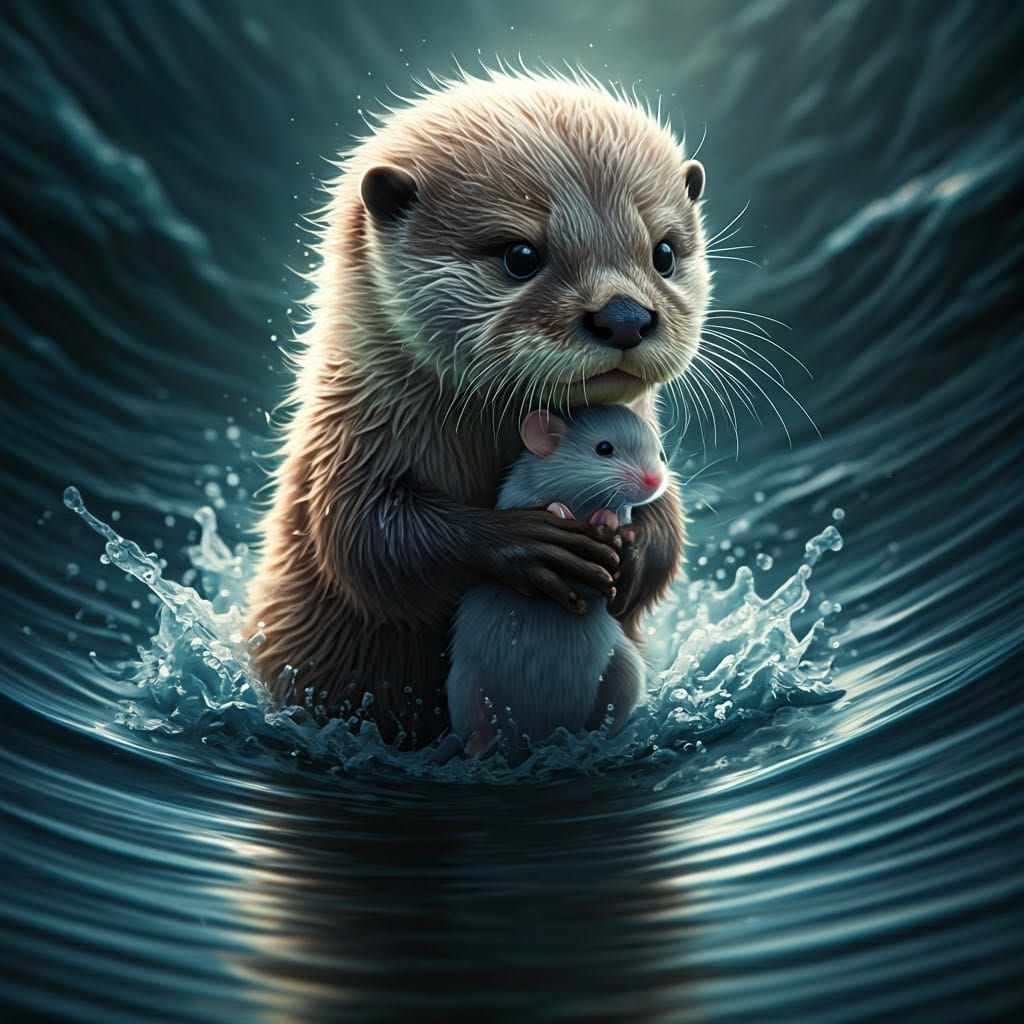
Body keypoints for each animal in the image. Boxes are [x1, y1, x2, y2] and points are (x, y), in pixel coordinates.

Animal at [247, 69, 710, 748]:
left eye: (665, 253)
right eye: (520, 256)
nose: (624, 315)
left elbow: (670, 523)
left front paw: (630, 551)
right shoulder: (348, 441)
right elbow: (364, 541)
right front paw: (530, 544)